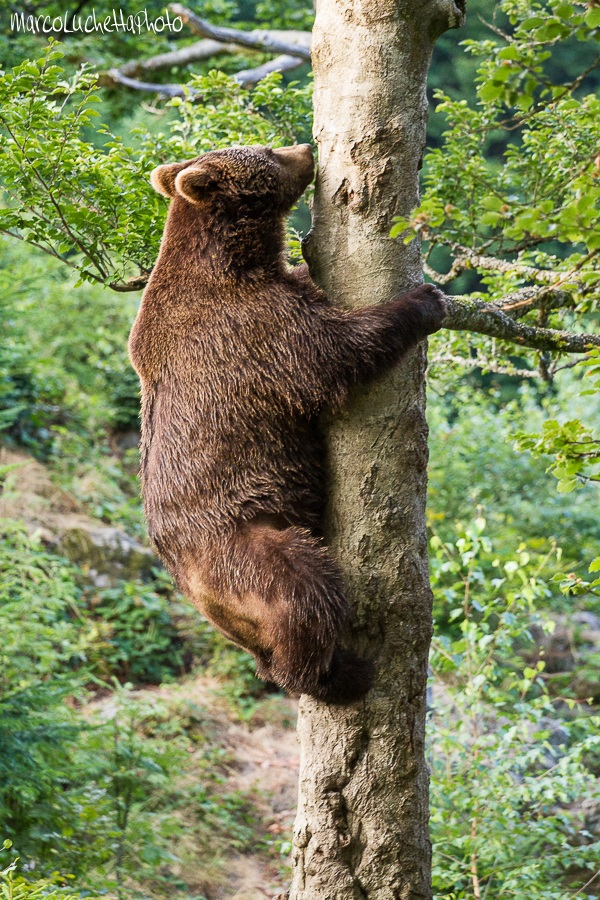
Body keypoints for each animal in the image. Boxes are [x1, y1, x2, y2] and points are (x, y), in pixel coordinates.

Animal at [128, 143, 446, 704]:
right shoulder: (253, 328)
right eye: (264, 152)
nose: (306, 148)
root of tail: (201, 598)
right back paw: (340, 674)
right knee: (304, 588)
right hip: (244, 547)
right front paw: (427, 300)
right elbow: (335, 353)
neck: (235, 260)